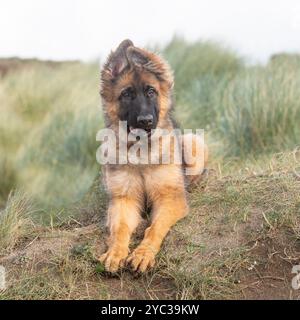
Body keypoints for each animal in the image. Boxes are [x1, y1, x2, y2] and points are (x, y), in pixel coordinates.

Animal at [99, 38, 207, 272]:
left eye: (151, 92)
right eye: (126, 94)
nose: (146, 120)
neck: (141, 154)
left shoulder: (169, 198)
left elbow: (155, 227)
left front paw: (143, 253)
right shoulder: (124, 200)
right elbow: (120, 229)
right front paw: (115, 252)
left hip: (194, 142)